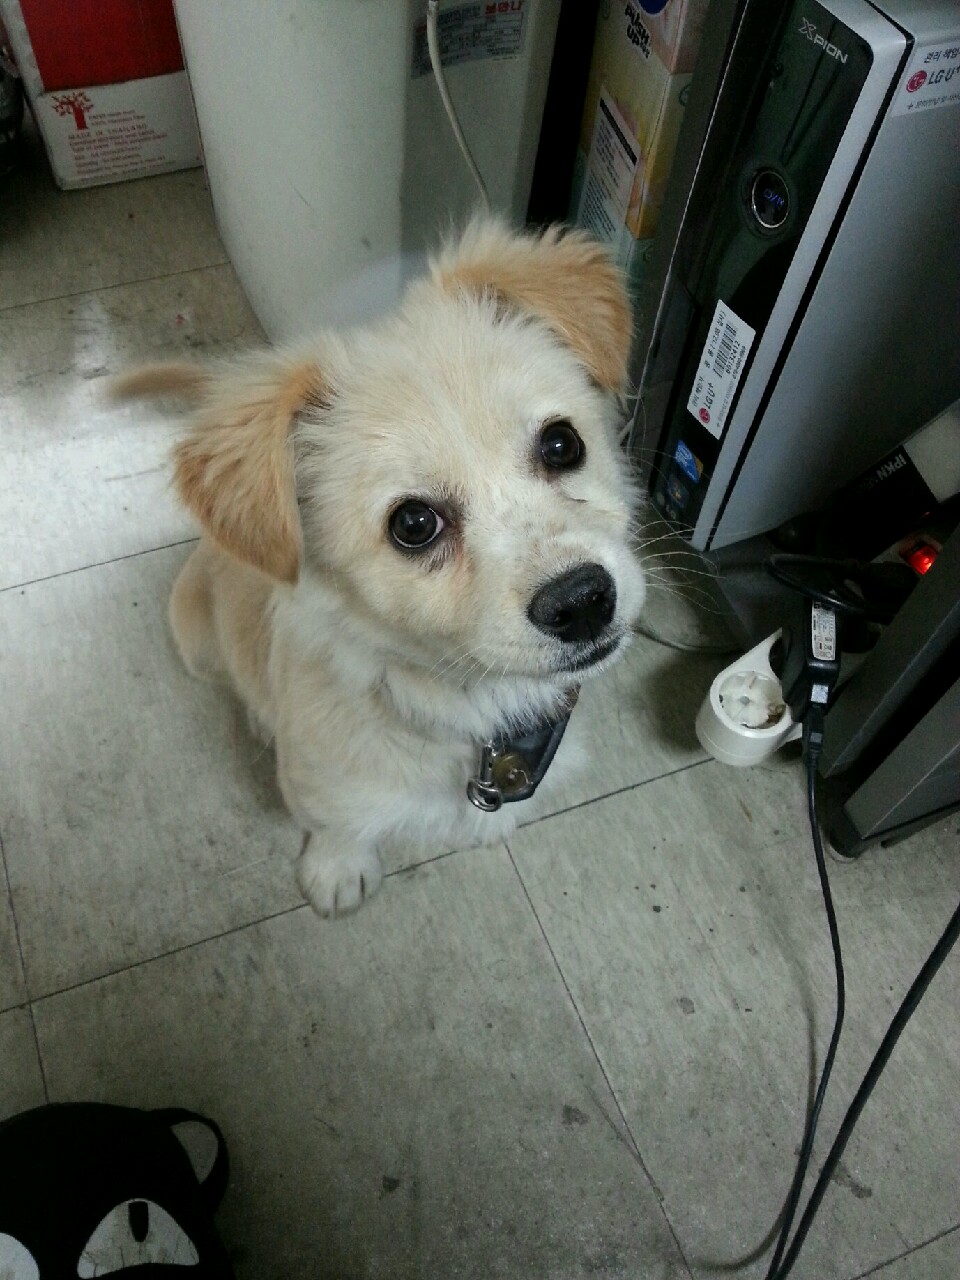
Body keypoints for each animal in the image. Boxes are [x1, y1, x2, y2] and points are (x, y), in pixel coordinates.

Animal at [115, 220, 646, 917]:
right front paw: (339, 871)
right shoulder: (322, 783)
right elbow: (337, 826)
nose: (582, 601)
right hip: (196, 641)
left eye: (563, 443)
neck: (467, 704)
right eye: (413, 525)